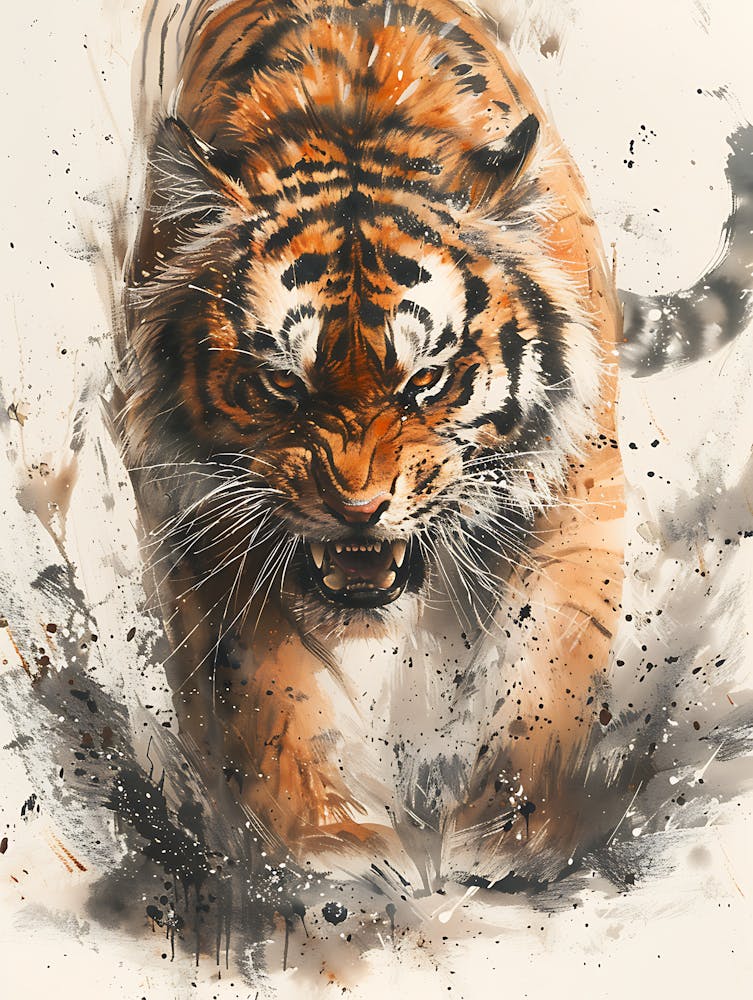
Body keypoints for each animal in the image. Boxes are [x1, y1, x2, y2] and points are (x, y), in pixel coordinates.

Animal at [121, 0, 625, 891]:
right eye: (282, 384)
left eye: (425, 380)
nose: (357, 509)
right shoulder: (199, 510)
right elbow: (268, 686)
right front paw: (329, 843)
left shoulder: (576, 482)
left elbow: (546, 660)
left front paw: (511, 831)